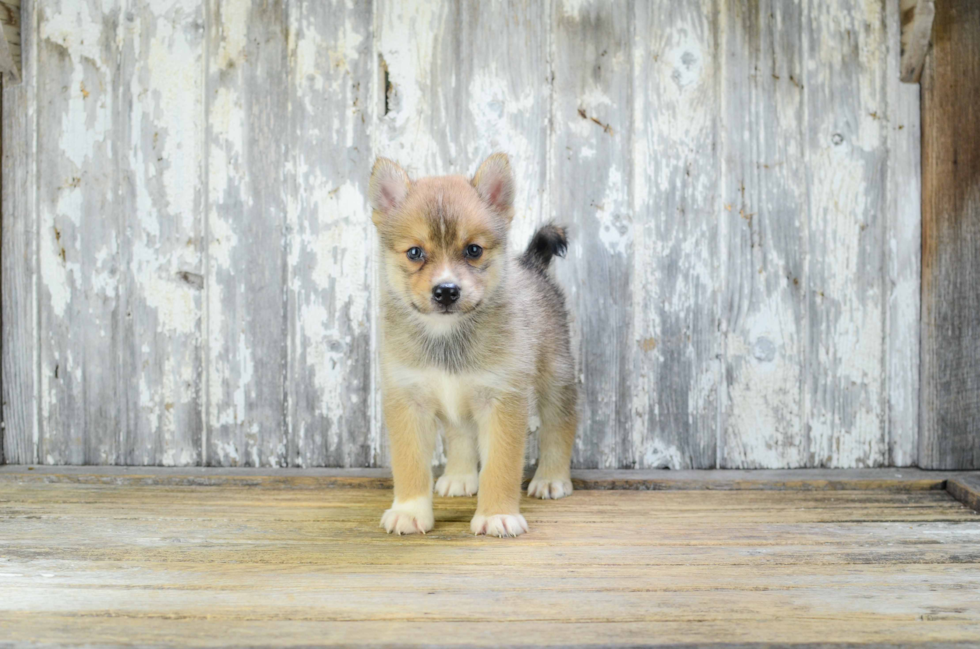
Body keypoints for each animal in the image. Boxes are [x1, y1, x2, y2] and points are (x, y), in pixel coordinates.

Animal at [372, 152, 580, 536]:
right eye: (415, 252)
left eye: (473, 250)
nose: (446, 290)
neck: (447, 335)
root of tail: (531, 264)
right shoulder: (407, 402)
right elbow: (409, 464)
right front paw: (409, 510)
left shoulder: (503, 402)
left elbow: (501, 466)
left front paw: (497, 514)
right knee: (460, 435)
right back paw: (459, 476)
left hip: (556, 378)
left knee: (561, 423)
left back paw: (551, 478)